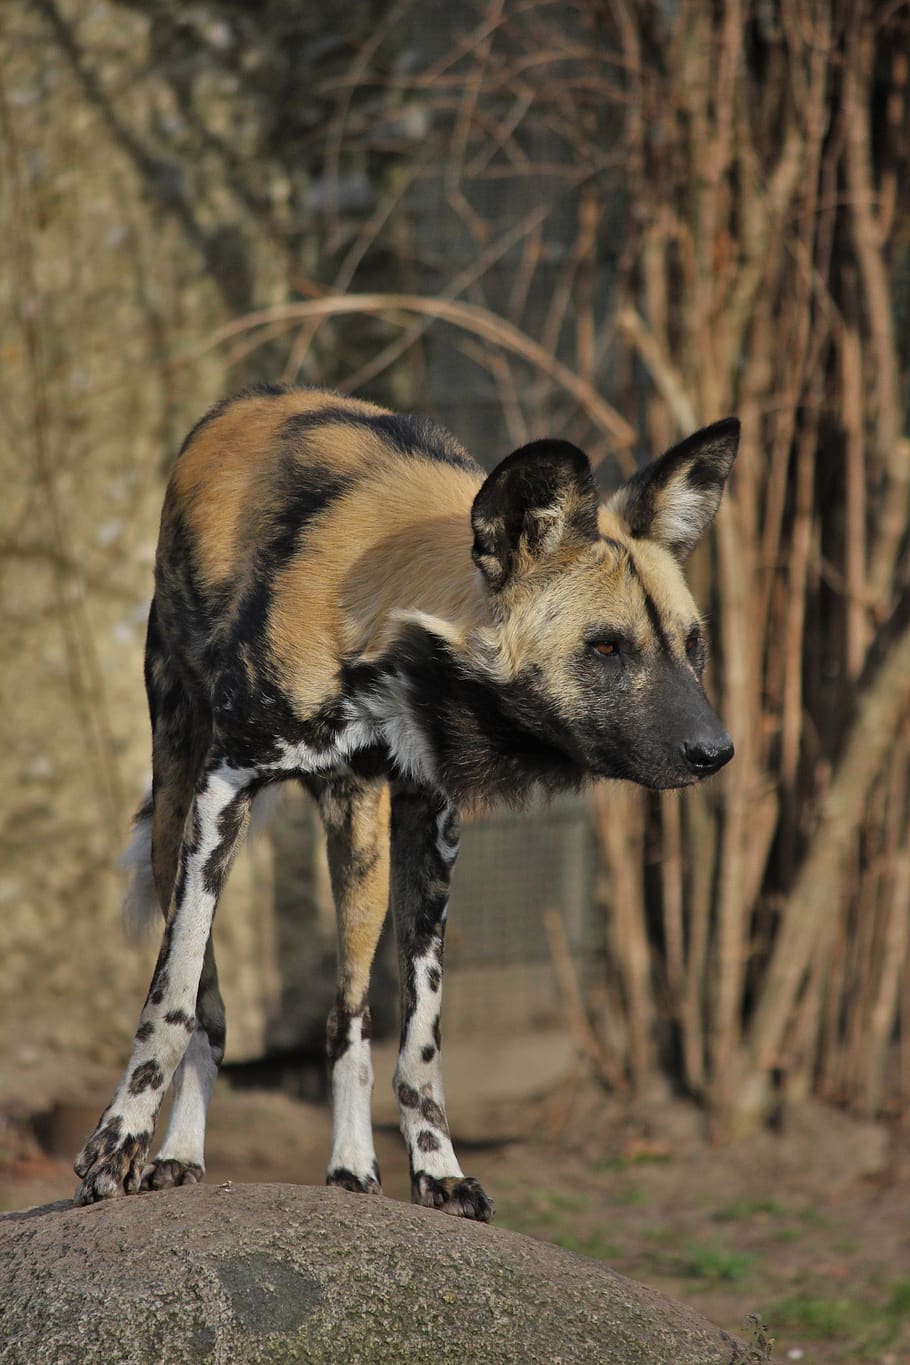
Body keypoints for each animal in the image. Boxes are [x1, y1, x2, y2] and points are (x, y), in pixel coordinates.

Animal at [74, 384, 736, 1217]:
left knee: (349, 1015)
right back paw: (180, 1153)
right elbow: (171, 1001)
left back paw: (352, 1165)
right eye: (607, 647)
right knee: (212, 1006)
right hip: (175, 821)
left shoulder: (431, 822)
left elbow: (418, 1040)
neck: (392, 636)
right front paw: (118, 1144)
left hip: (361, 852)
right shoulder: (225, 787)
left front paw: (436, 1168)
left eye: (693, 644)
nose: (716, 751)